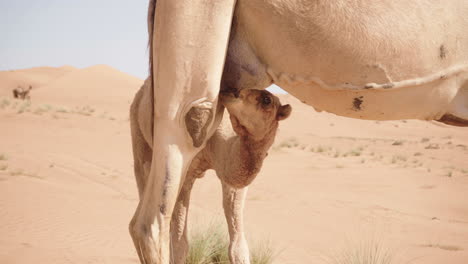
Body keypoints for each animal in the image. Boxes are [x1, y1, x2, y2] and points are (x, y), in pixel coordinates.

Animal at [128, 79, 288, 264]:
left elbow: (238, 245)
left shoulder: (230, 176)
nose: (232, 92)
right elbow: (180, 244)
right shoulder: (187, 170)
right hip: (139, 137)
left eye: (267, 100)